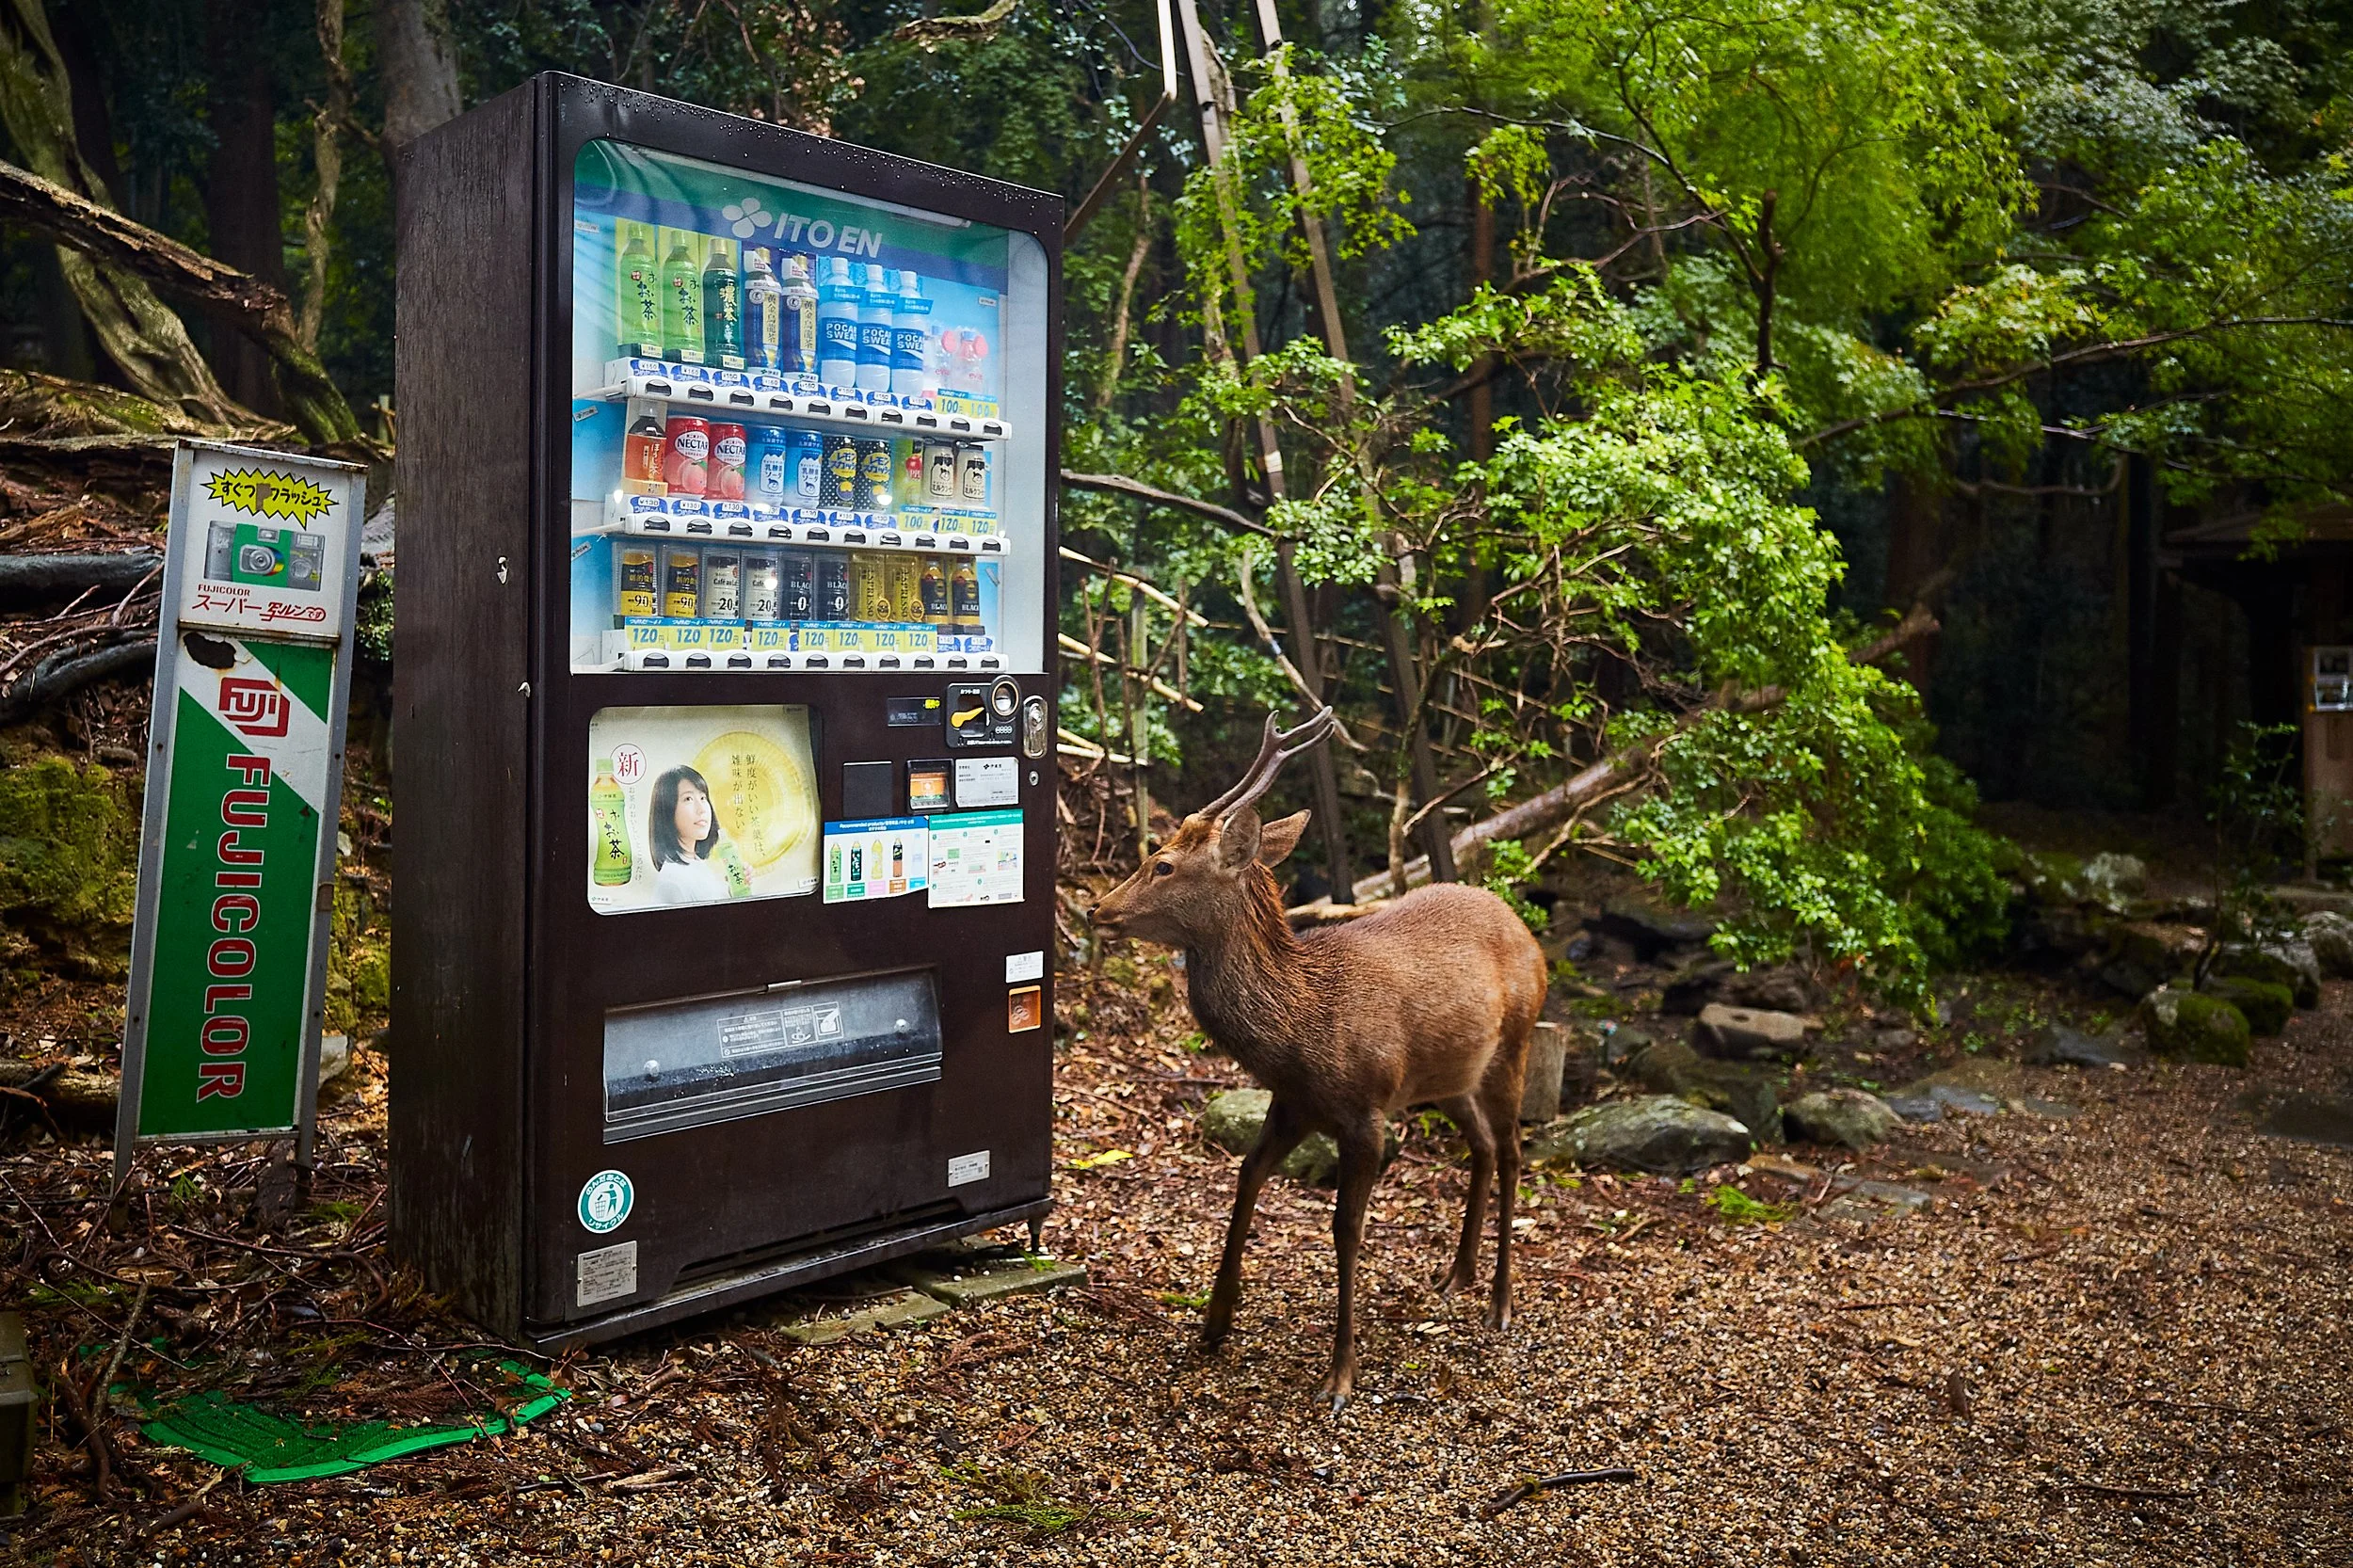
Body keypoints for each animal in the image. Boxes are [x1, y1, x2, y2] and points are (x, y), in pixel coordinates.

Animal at [1091, 708, 1549, 1408]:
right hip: (1447, 1078)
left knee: (1516, 1151)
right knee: (1484, 1146)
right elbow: (1246, 1177)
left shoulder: (1366, 1112)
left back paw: (1499, 1303)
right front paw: (1214, 1324)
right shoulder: (1293, 1104)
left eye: (1163, 864)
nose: (1097, 908)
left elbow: (1345, 1228)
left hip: (1516, 1042)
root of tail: (1525, 928)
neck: (1298, 1033)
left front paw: (1339, 1376)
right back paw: (1456, 1276)